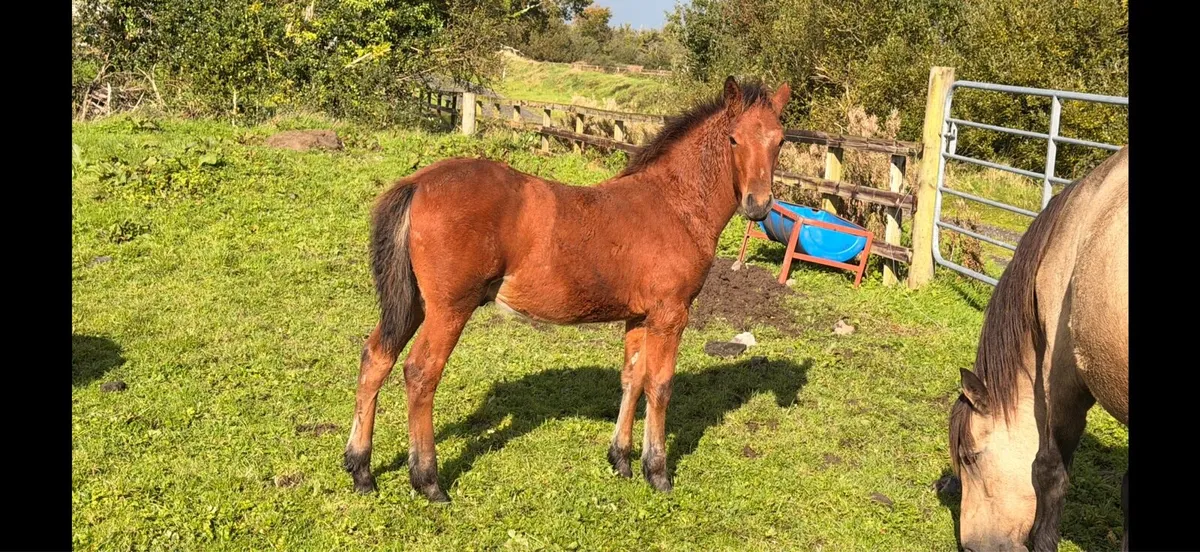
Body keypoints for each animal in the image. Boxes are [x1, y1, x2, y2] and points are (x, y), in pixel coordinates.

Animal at [344, 76, 793, 502]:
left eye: (779, 140)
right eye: (733, 138)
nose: (757, 205)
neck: (675, 205)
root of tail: (418, 183)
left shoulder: (638, 316)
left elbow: (633, 377)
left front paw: (620, 460)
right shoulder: (670, 314)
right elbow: (660, 385)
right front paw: (657, 472)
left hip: (413, 303)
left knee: (376, 358)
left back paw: (361, 470)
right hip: (449, 308)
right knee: (421, 373)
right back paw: (429, 481)